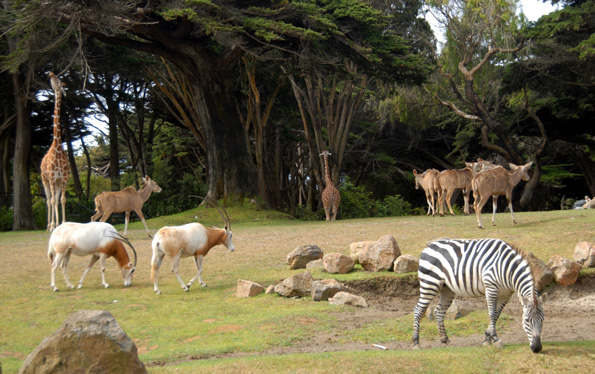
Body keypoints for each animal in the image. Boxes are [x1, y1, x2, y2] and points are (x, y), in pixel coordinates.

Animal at [414, 238, 544, 352]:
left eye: (543, 320)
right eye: (527, 320)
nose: (537, 348)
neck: (508, 270)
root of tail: (428, 247)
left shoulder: (506, 294)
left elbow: (497, 315)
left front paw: (487, 338)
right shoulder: (491, 288)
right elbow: (492, 314)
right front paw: (495, 339)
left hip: (447, 288)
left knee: (439, 311)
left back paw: (445, 340)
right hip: (429, 283)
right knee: (418, 309)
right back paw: (416, 342)